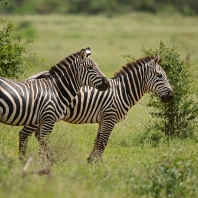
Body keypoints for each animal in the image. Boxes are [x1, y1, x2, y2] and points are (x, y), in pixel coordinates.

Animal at [22, 53, 172, 162]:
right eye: (159, 75)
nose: (171, 96)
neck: (123, 91)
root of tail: (32, 78)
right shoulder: (110, 117)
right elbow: (103, 142)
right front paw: (97, 164)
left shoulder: (103, 119)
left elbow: (98, 140)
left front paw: (91, 161)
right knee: (28, 134)